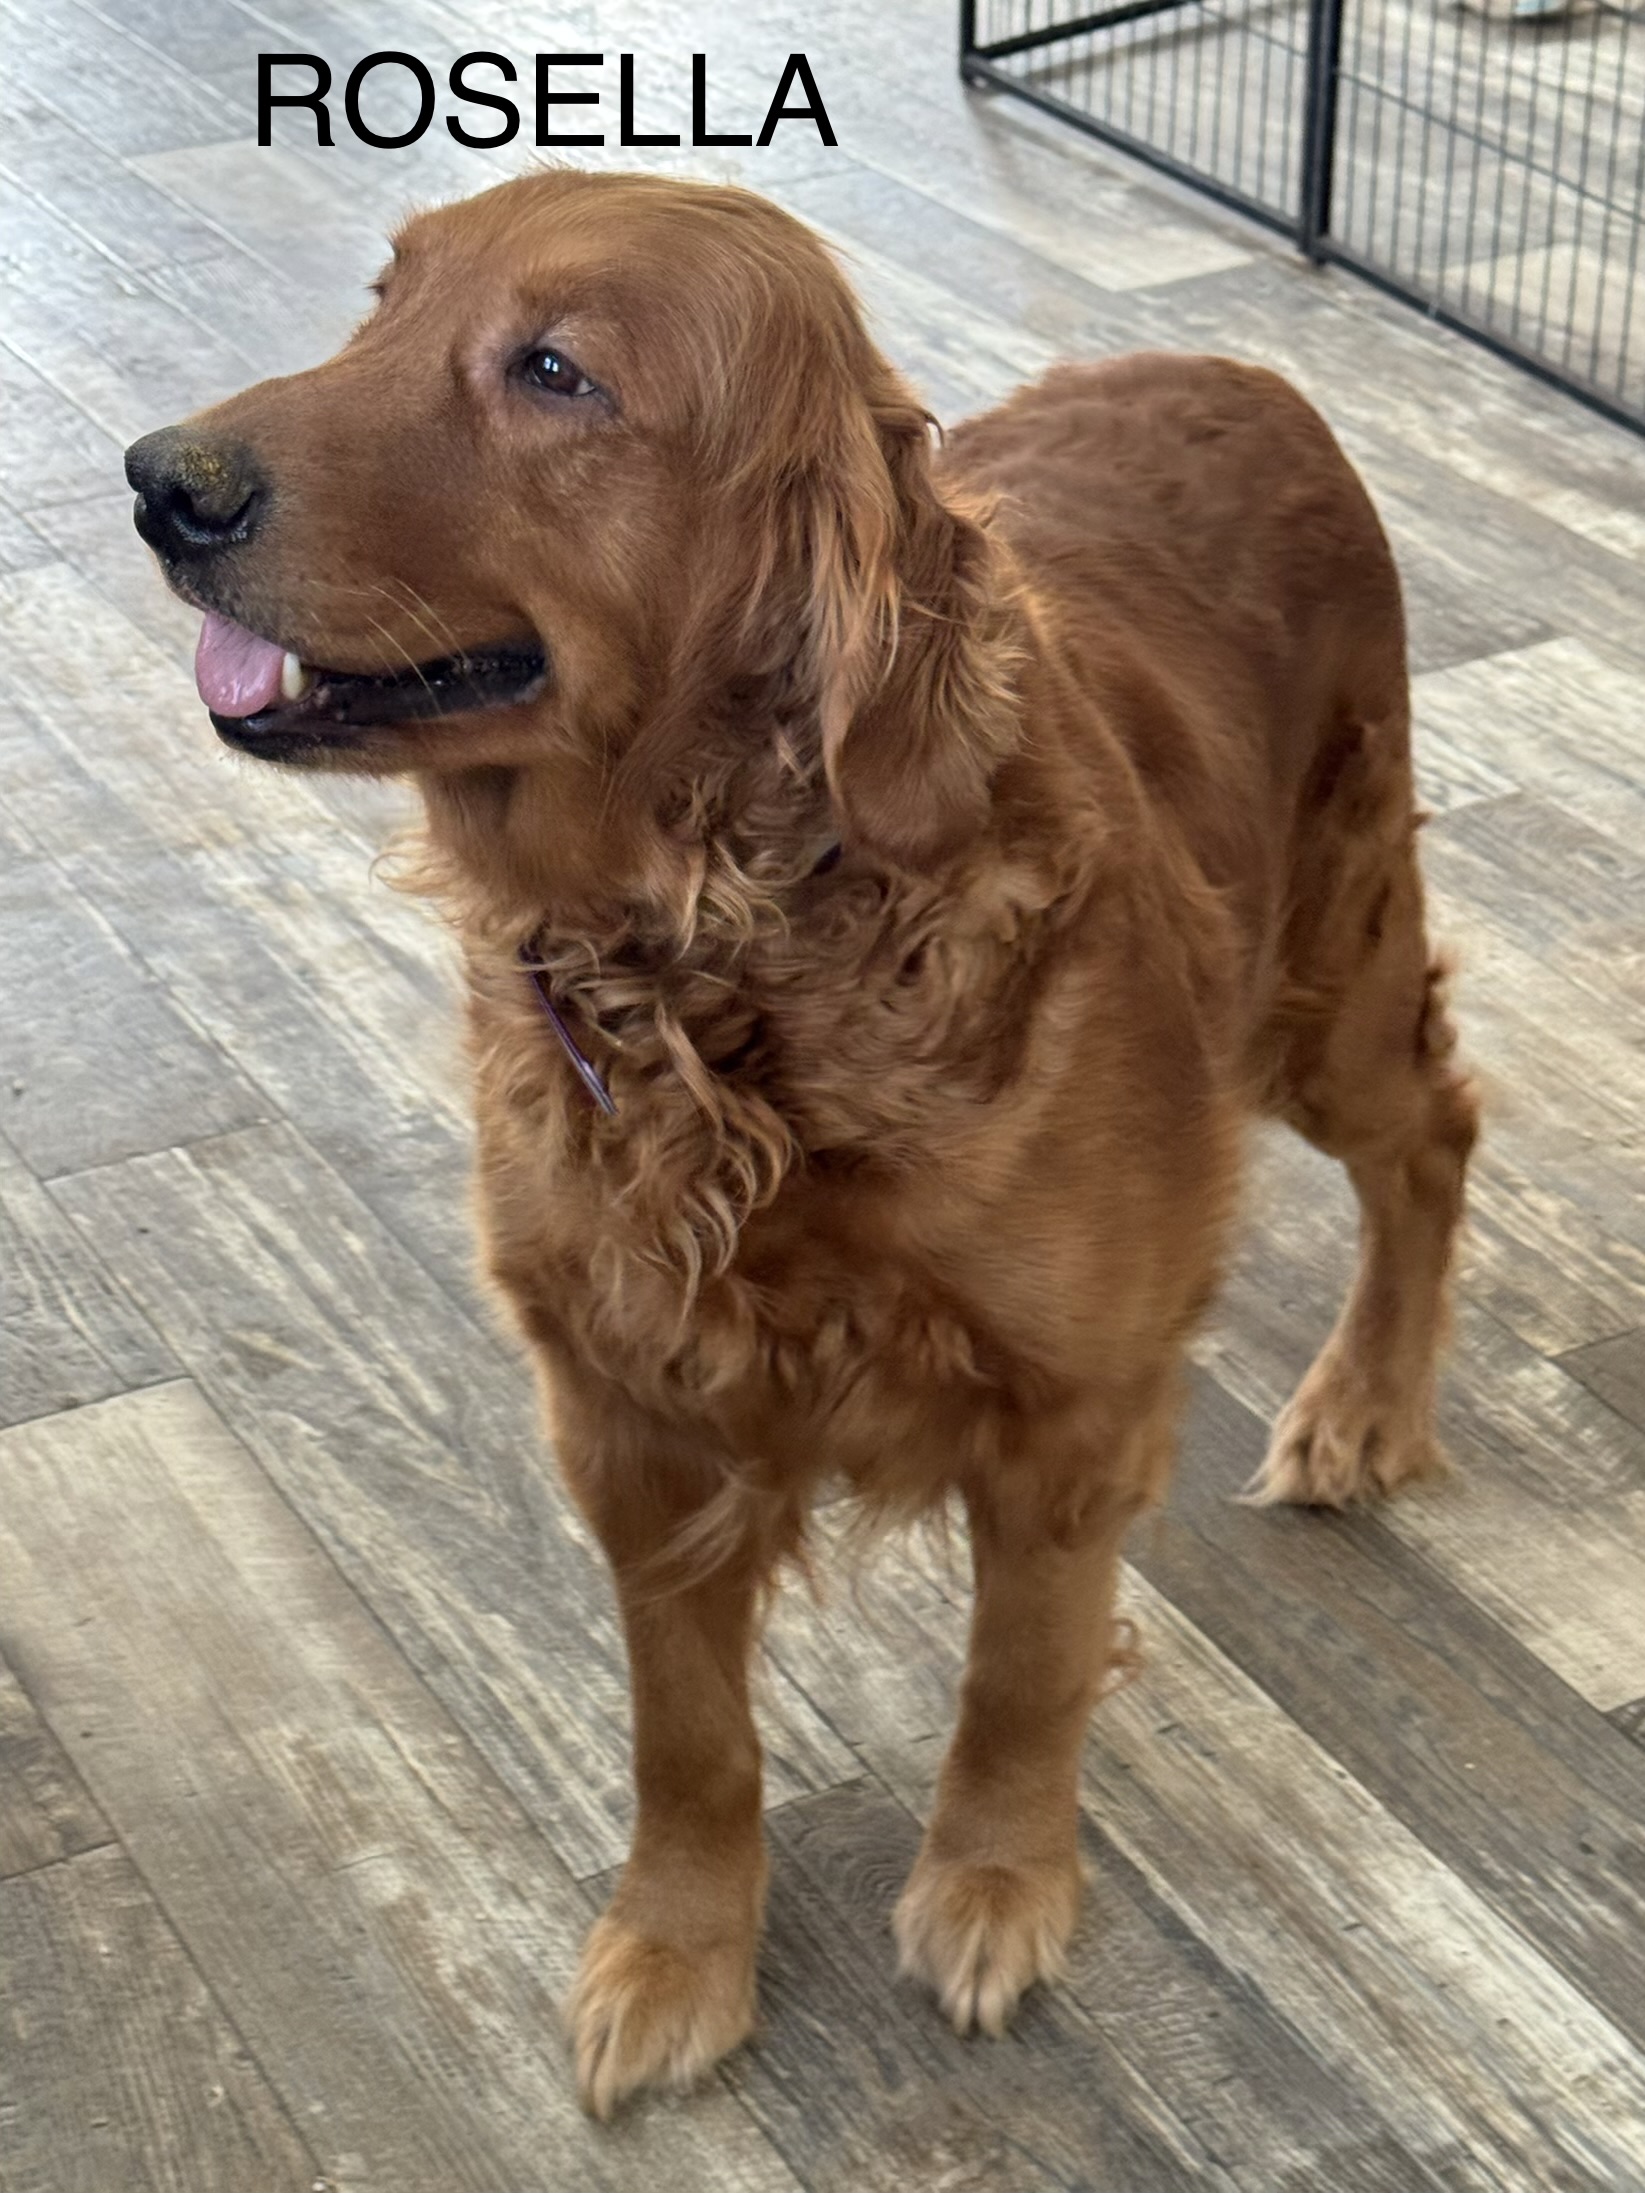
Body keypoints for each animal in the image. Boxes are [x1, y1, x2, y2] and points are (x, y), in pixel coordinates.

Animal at [126, 169, 1476, 2116]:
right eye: (382, 306)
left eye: (555, 371)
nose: (160, 481)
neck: (725, 958)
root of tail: (1244, 368)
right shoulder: (629, 1415)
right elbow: (686, 1738)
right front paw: (675, 1955)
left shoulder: (1066, 1410)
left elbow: (1020, 1677)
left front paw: (993, 1885)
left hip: (1323, 987)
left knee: (1432, 1129)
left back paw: (1365, 1402)